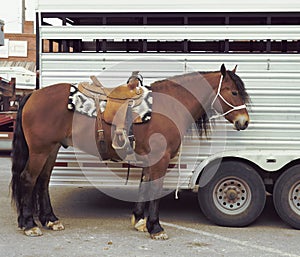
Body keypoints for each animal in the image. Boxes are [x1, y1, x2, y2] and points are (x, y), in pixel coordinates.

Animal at [9, 63, 248, 238]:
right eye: (234, 92)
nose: (244, 122)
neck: (169, 106)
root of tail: (33, 95)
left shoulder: (150, 158)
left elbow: (145, 184)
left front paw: (140, 221)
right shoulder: (160, 158)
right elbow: (154, 188)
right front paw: (155, 227)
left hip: (52, 149)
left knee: (43, 181)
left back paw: (50, 220)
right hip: (40, 150)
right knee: (28, 179)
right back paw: (29, 224)